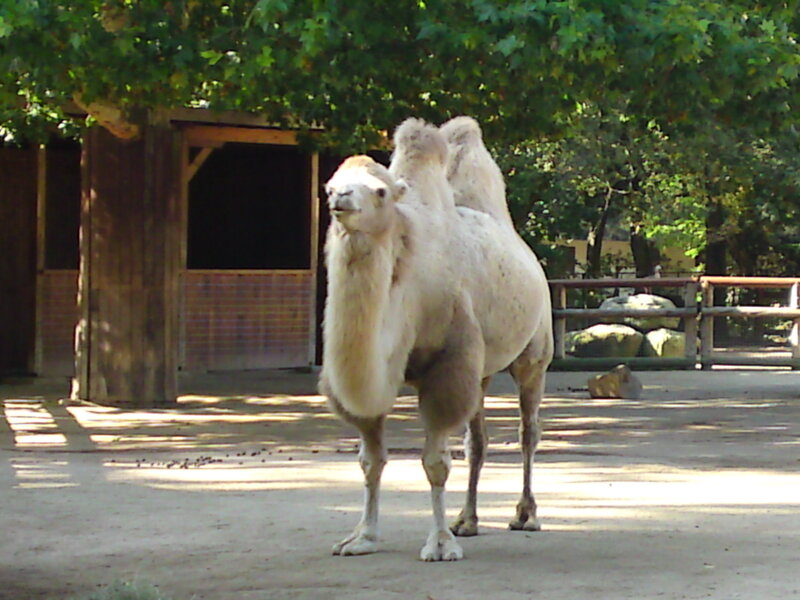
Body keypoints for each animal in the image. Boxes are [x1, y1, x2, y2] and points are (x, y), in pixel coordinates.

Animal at [319, 116, 552, 561]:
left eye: (379, 191)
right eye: (330, 185)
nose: (342, 198)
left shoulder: (449, 360)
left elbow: (435, 462)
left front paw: (440, 544)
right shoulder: (377, 373)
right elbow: (370, 460)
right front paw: (362, 537)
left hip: (535, 353)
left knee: (527, 430)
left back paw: (526, 515)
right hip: (482, 370)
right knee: (477, 440)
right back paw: (468, 520)